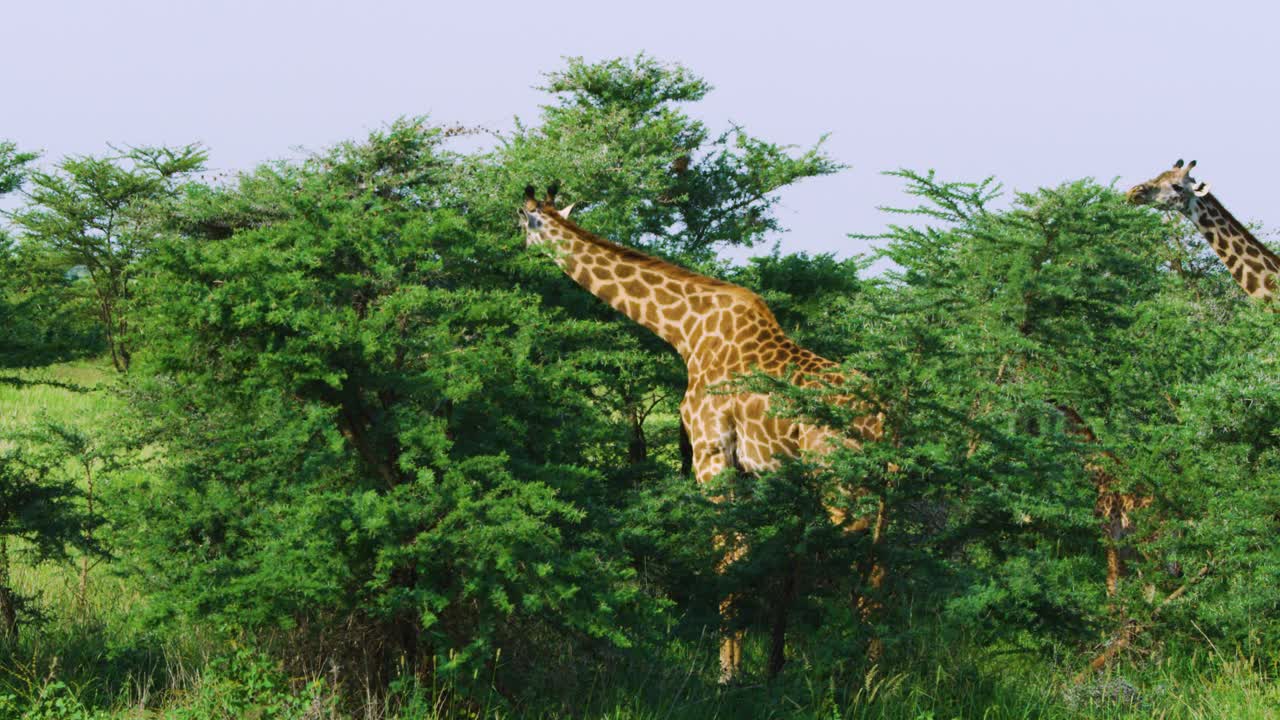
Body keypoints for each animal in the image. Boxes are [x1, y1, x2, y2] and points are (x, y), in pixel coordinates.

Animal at [518, 185, 884, 682]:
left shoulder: (710, 453)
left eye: (520, 222)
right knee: (883, 566)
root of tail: (883, 415)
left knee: (862, 566)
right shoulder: (746, 469)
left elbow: (726, 556)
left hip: (839, 485)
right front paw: (754, 667)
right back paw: (877, 672)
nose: (515, 252)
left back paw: (860, 677)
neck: (685, 332)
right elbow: (744, 557)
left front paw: (726, 674)